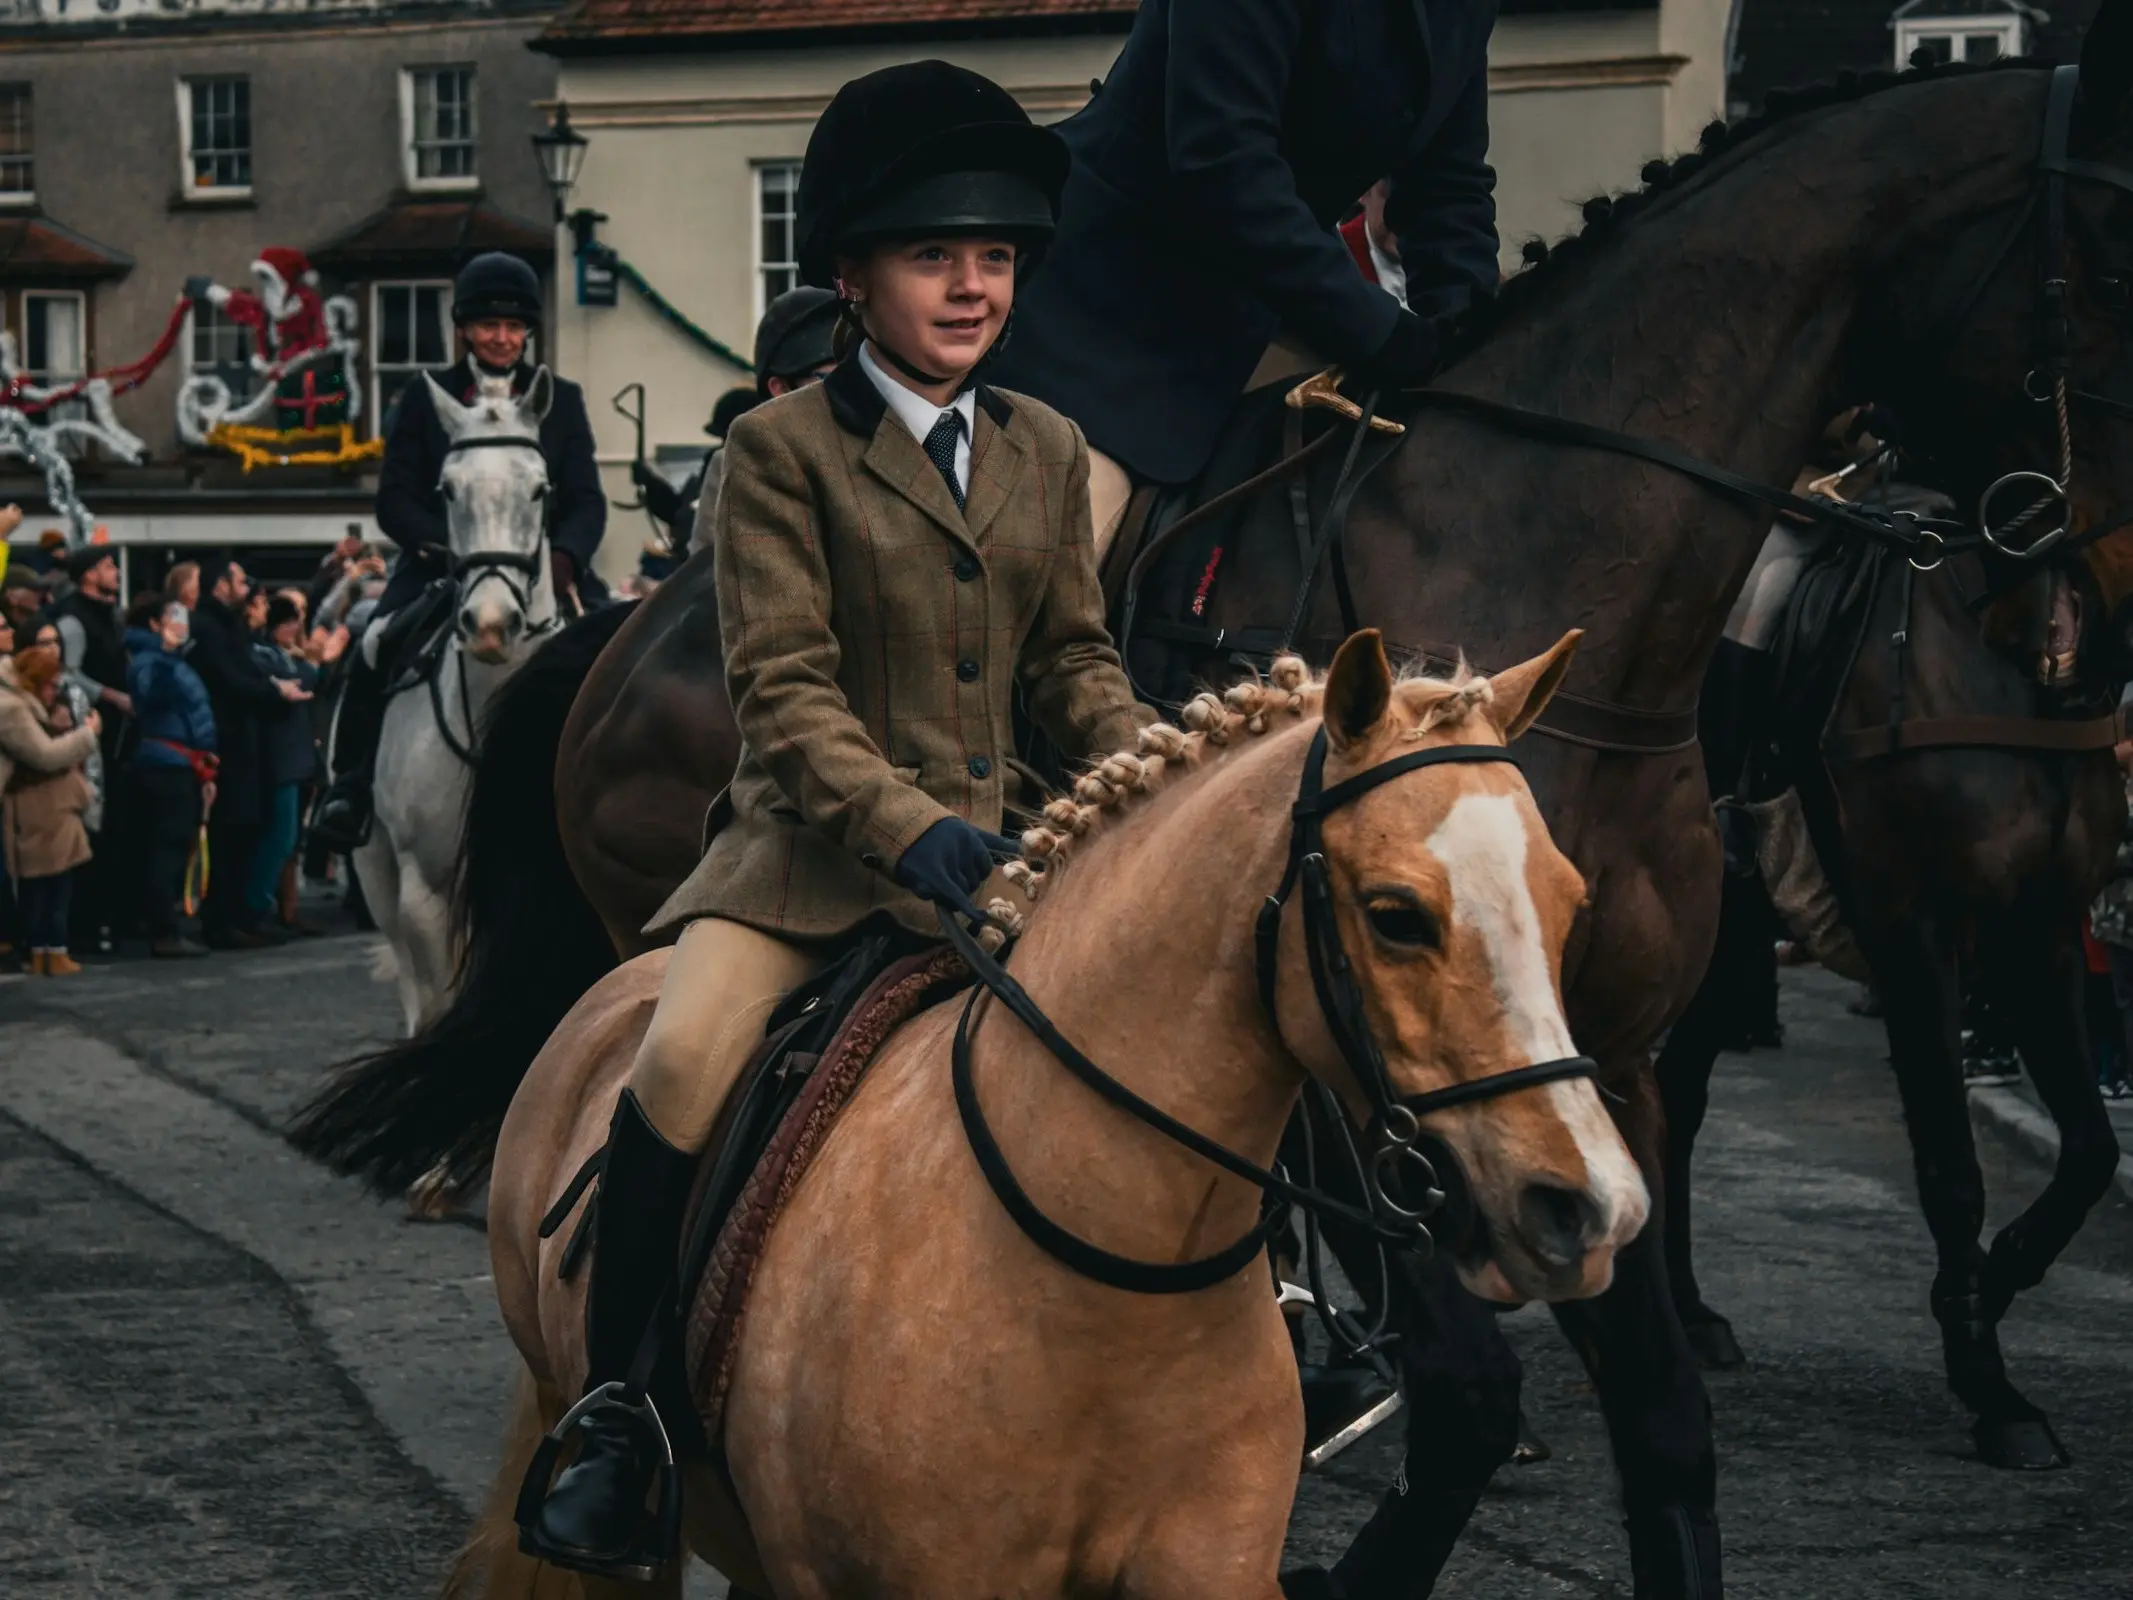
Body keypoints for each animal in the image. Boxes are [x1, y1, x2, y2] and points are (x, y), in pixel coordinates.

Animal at [358, 369, 563, 1032]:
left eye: (539, 489)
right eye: (447, 490)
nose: (491, 626)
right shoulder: (424, 891)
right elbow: (440, 999)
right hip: (376, 871)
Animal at [454, 635, 1646, 1600]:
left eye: (1570, 902)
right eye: (1397, 915)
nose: (1596, 1209)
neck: (1106, 1278)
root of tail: (611, 996)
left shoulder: (1207, 1565)